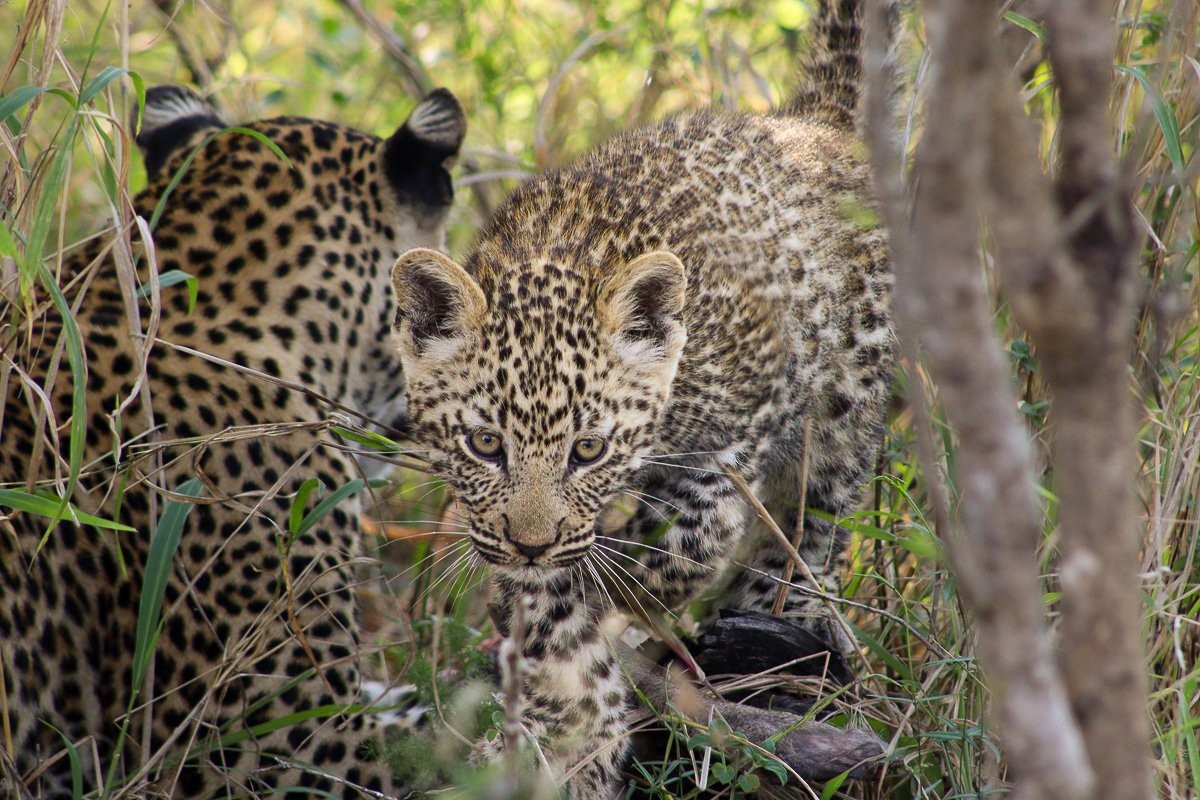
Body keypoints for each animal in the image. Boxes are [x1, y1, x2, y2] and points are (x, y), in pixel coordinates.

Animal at [389, 0, 892, 796]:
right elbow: (556, 612)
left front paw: (614, 599)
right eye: (486, 444)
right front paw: (568, 735)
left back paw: (772, 641)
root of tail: (813, 125)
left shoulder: (725, 449)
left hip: (844, 414)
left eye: (588, 449)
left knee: (813, 524)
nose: (529, 544)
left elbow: (666, 556)